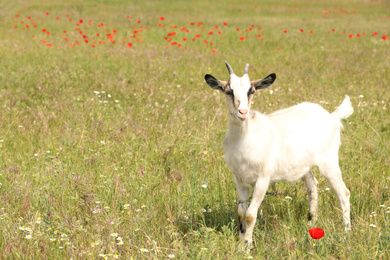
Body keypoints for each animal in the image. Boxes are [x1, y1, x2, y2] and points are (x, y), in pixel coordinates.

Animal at [204, 61, 354, 246]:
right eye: (228, 91)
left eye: (251, 91)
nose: (243, 112)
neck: (245, 140)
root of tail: (332, 116)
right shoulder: (239, 179)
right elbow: (240, 212)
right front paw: (240, 243)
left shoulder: (262, 180)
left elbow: (250, 215)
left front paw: (247, 246)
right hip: (305, 166)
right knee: (313, 186)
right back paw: (311, 224)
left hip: (329, 161)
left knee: (343, 193)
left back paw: (346, 233)